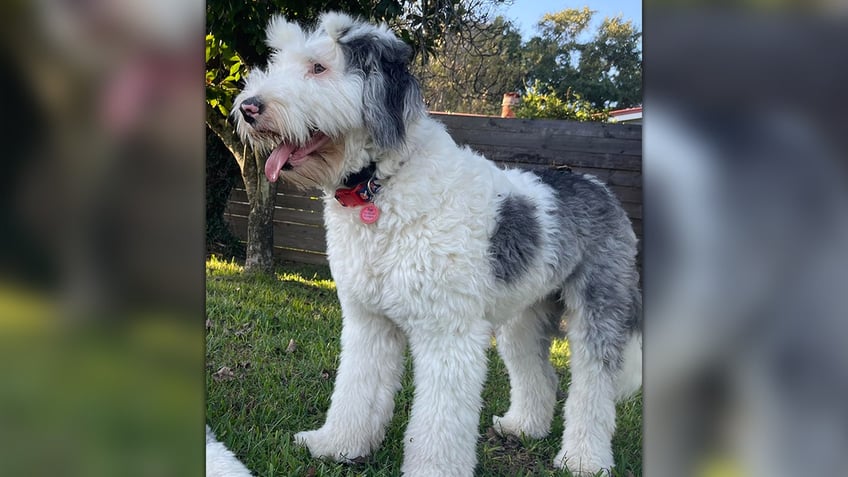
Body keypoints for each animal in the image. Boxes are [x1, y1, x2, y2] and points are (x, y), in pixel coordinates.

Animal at [234, 12, 644, 476]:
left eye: (318, 67)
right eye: (278, 60)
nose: (248, 108)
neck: (382, 185)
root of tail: (598, 185)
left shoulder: (448, 333)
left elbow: (439, 424)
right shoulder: (369, 321)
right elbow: (356, 389)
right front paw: (338, 445)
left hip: (599, 307)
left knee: (594, 386)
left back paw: (584, 459)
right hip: (524, 314)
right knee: (540, 373)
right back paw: (523, 427)